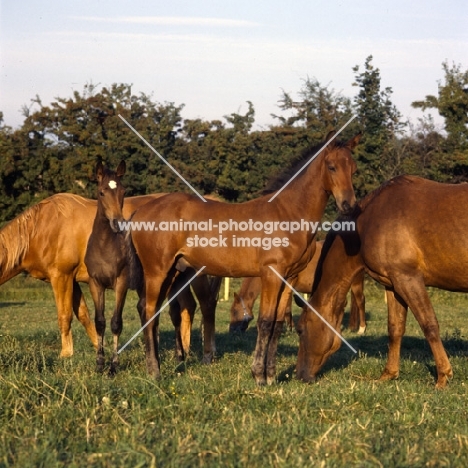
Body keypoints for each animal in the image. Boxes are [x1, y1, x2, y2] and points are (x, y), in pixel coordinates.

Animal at [229, 239, 368, 334]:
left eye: (234, 311)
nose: (231, 331)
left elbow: (286, 308)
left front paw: (290, 328)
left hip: (355, 283)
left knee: (360, 301)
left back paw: (361, 329)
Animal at [296, 175, 468, 388]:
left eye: (300, 330)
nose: (299, 375)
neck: (368, 223)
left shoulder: (408, 279)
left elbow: (429, 325)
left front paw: (443, 376)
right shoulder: (393, 284)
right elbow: (395, 328)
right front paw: (389, 374)